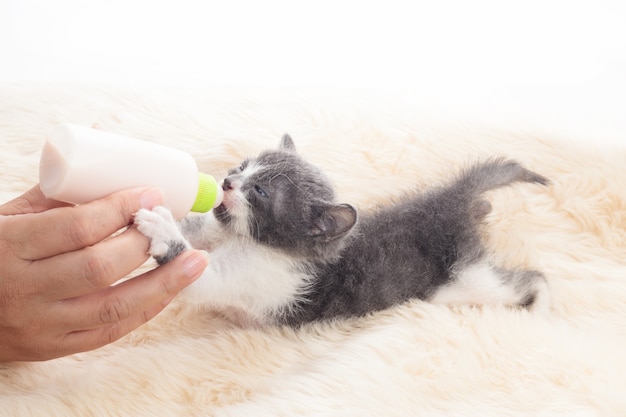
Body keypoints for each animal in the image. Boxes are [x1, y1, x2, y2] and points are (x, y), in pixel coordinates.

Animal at [134, 135, 548, 326]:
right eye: (242, 167)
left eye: (260, 192)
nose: (226, 181)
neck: (242, 240)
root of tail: (450, 200)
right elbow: (197, 231)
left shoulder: (264, 280)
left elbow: (199, 274)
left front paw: (161, 227)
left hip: (465, 282)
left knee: (526, 281)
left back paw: (543, 308)